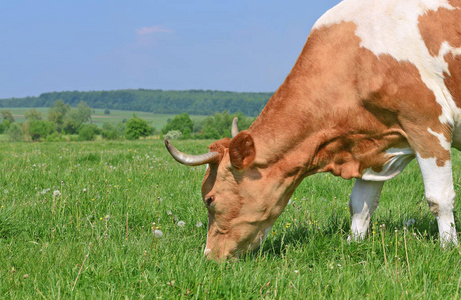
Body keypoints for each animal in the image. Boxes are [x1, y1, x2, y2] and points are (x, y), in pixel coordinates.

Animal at [164, 0, 460, 260]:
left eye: (210, 199)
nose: (210, 257)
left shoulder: (427, 124)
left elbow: (439, 198)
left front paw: (448, 248)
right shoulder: (374, 146)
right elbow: (360, 204)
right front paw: (352, 244)